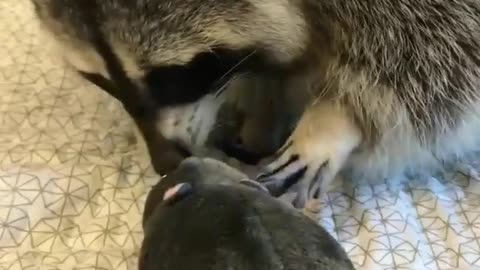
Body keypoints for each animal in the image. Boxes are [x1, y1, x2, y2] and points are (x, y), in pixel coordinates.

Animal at [31, 0, 480, 207]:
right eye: (98, 79)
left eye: (171, 76)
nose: (164, 162)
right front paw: (259, 107)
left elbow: (446, 55)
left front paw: (333, 120)